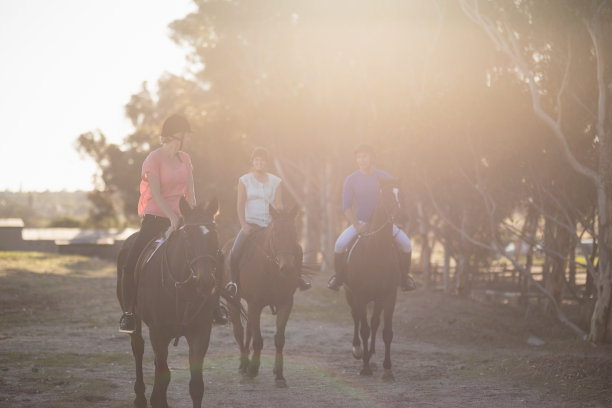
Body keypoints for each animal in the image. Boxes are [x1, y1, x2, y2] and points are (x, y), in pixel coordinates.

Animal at [116, 196, 228, 406]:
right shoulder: (158, 333)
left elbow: (196, 386)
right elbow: (163, 377)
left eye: (214, 235)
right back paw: (140, 397)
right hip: (135, 320)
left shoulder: (200, 333)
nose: (206, 281)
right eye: (188, 236)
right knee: (138, 348)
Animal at [224, 206, 302, 388]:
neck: (272, 269)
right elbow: (258, 340)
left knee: (248, 330)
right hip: (233, 301)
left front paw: (279, 375)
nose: (287, 268)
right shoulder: (255, 304)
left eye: (294, 233)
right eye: (275, 233)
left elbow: (279, 339)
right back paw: (243, 365)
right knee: (239, 331)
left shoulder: (286, 303)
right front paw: (253, 370)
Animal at [344, 178, 406, 380]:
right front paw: (364, 368)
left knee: (374, 323)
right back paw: (358, 350)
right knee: (356, 317)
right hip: (350, 294)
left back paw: (370, 354)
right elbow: (363, 329)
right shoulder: (360, 295)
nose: (402, 218)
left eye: (403, 194)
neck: (376, 251)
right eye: (386, 195)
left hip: (377, 299)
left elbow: (386, 332)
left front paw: (388, 369)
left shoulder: (388, 296)